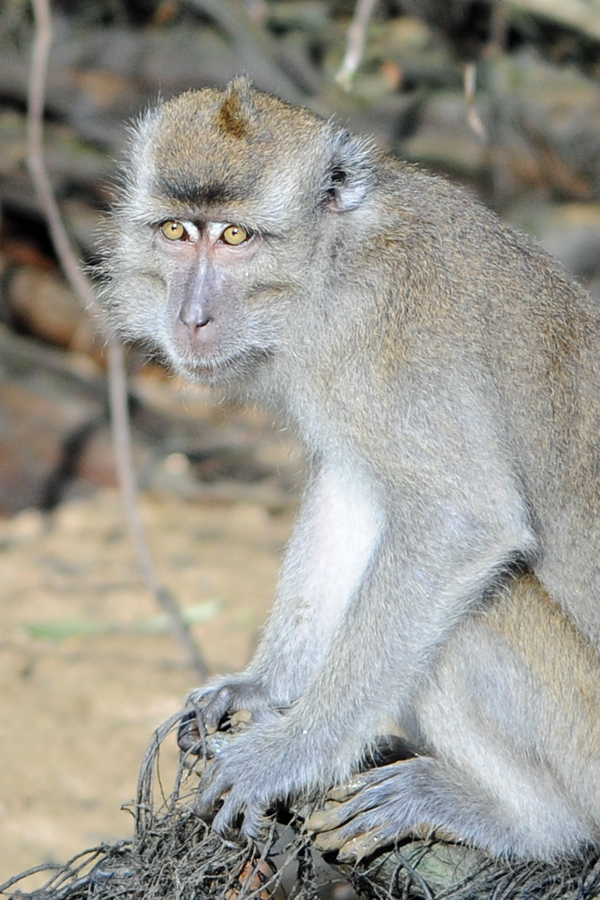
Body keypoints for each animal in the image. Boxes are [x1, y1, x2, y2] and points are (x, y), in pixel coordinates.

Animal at [99, 76, 600, 860]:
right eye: (177, 232)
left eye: (235, 236)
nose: (192, 317)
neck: (336, 262)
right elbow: (356, 490)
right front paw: (265, 689)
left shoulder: (388, 338)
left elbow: (460, 518)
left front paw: (289, 752)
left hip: (582, 732)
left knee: (474, 612)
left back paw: (529, 823)